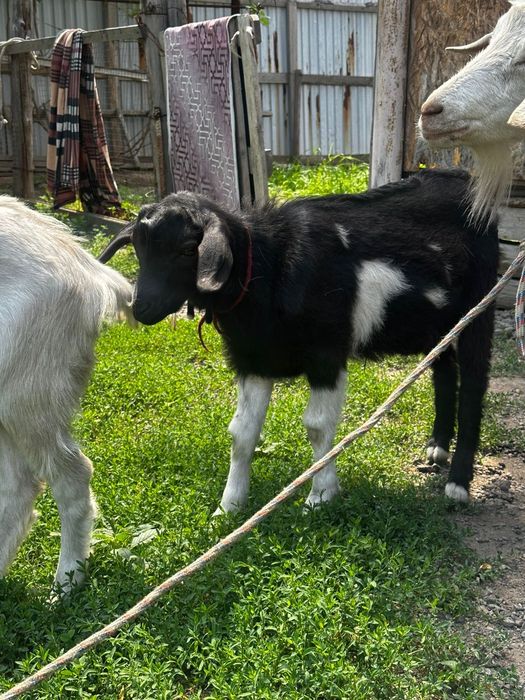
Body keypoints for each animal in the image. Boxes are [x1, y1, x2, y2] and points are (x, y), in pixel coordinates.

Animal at [100, 170, 498, 511]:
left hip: (480, 306)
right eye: (138, 248)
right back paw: (437, 447)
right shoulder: (254, 359)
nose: (142, 307)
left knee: (473, 382)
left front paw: (320, 496)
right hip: (439, 323)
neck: (268, 267)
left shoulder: (326, 355)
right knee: (444, 371)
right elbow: (241, 432)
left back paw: (458, 484)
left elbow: (317, 426)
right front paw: (229, 507)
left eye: (186, 249)